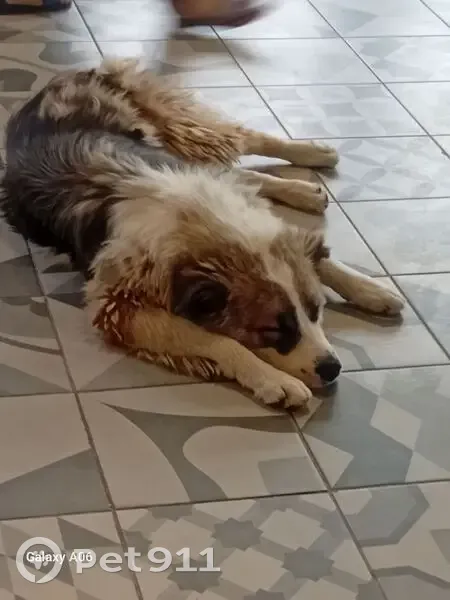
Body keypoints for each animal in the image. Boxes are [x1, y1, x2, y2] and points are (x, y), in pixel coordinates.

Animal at [0, 59, 405, 409]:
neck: (200, 219)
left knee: (243, 144)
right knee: (240, 165)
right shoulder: (119, 305)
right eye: (274, 329)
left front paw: (370, 289)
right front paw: (272, 379)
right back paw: (304, 185)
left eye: (316, 310)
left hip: (176, 129)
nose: (333, 368)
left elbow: (315, 254)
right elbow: (215, 339)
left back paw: (310, 159)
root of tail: (70, 74)